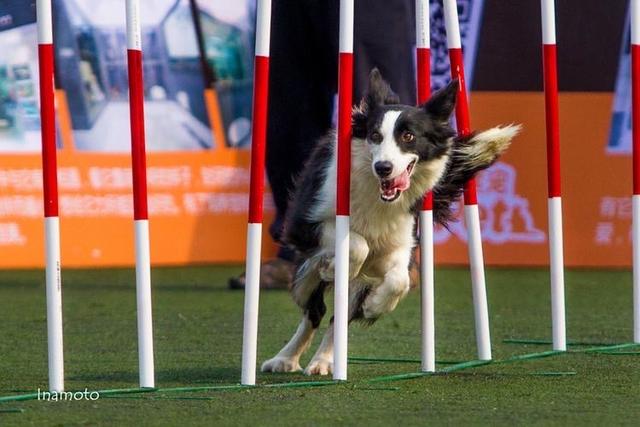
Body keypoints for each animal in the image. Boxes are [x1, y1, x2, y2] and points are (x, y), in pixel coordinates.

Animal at [262, 69, 516, 374]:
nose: (383, 167)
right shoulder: (306, 224)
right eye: (374, 135)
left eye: (408, 136)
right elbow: (356, 243)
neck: (377, 196)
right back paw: (286, 358)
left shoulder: (399, 241)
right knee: (314, 310)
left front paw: (374, 305)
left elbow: (400, 279)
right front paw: (336, 267)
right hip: (305, 276)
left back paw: (322, 361)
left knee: (337, 318)